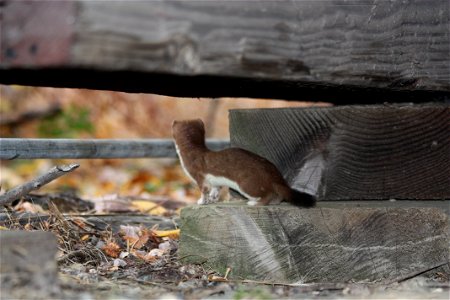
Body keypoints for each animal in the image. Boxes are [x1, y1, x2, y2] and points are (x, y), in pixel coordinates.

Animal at [172, 118, 316, 207]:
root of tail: (274, 176)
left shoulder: (199, 174)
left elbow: (204, 189)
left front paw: (201, 201)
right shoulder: (215, 180)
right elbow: (216, 188)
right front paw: (213, 198)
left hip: (247, 183)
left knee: (268, 194)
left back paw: (254, 203)